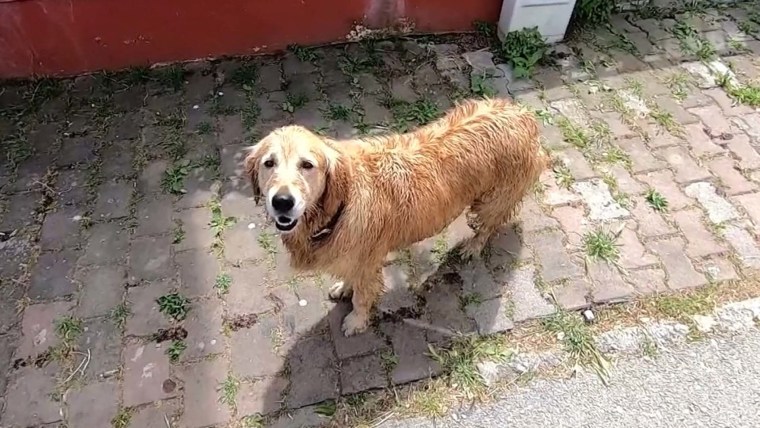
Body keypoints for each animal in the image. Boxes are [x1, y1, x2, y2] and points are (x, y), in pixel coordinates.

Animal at [246, 98, 548, 336]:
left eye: (307, 165)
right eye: (268, 163)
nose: (282, 202)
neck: (342, 202)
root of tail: (524, 115)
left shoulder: (367, 262)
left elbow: (362, 297)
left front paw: (356, 321)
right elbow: (349, 276)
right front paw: (344, 287)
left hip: (495, 198)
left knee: (490, 224)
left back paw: (474, 245)